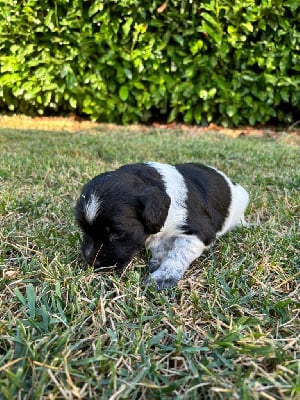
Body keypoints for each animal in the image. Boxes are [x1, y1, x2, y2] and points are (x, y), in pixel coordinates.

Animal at [75, 161, 248, 290]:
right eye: (83, 229)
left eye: (117, 233)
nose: (91, 261)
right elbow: (159, 246)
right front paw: (158, 259)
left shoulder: (199, 232)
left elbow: (178, 254)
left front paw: (163, 277)